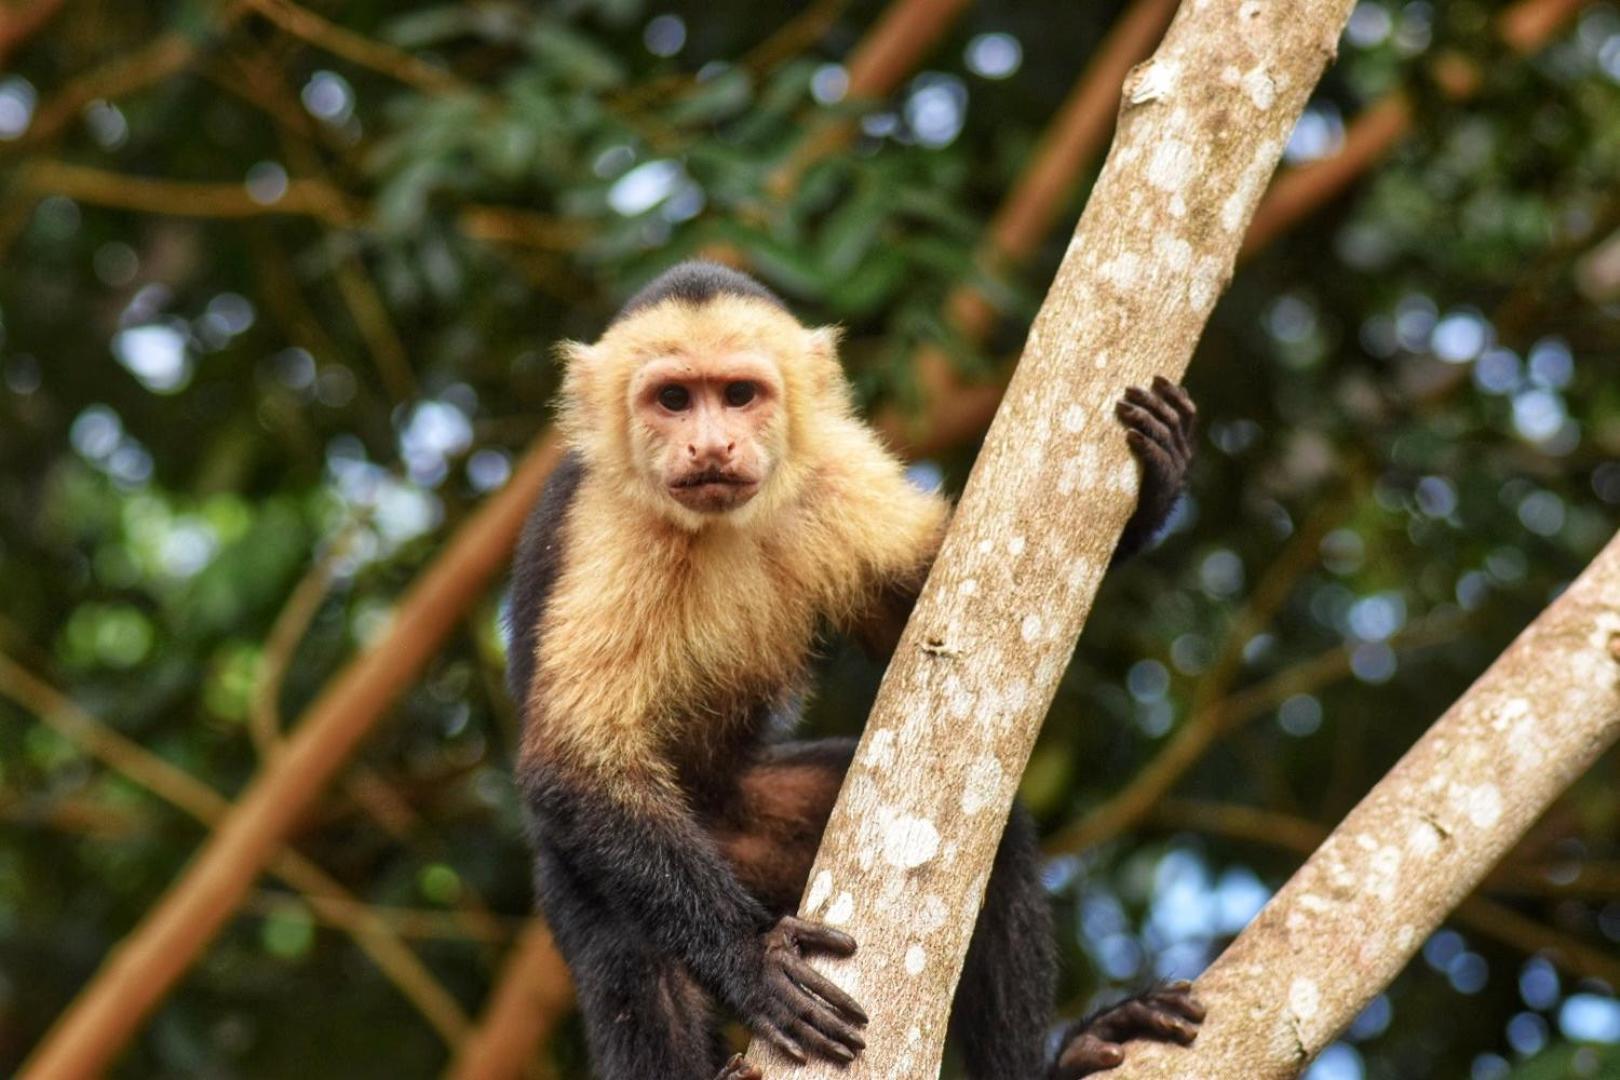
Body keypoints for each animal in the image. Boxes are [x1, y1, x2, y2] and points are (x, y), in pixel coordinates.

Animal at [505, 263, 1205, 1080]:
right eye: (673, 400)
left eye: (738, 394)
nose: (710, 445)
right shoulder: (607, 526)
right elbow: (573, 760)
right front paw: (751, 963)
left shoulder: (834, 470)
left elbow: (933, 611)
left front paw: (1152, 495)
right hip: (583, 867)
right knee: (636, 962)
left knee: (989, 852)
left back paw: (1051, 1064)